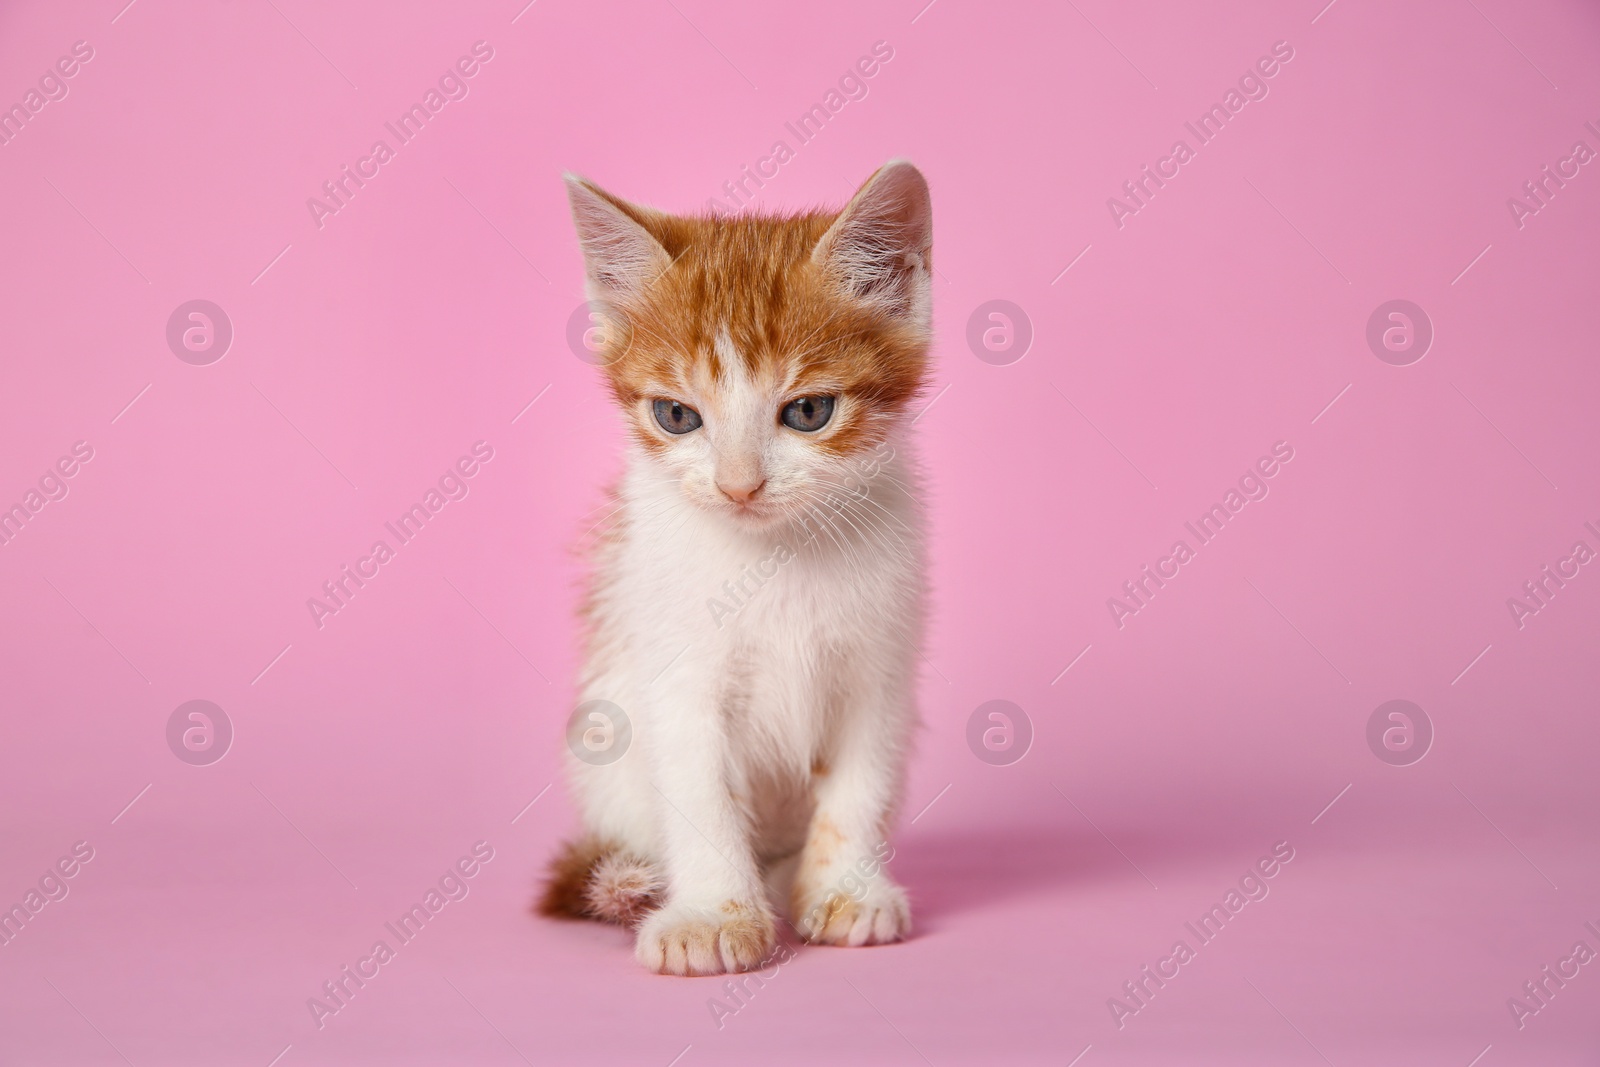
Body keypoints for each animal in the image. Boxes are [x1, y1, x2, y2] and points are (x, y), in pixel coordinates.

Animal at [540, 160, 934, 979]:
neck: (773, 552)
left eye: (809, 412)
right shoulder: (674, 669)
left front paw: (847, 891)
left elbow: (861, 784)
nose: (738, 486)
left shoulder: (881, 662)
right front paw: (709, 914)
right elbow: (700, 789)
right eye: (677, 416)